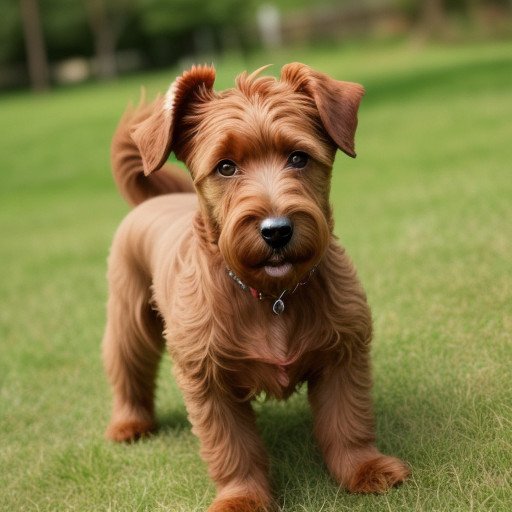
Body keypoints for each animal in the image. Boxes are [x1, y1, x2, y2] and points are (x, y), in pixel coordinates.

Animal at [103, 64, 408, 512]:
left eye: (298, 157)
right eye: (226, 167)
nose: (276, 230)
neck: (271, 296)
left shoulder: (344, 354)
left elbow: (348, 422)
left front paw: (365, 469)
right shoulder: (208, 380)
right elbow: (233, 448)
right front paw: (242, 497)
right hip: (130, 318)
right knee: (127, 367)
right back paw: (129, 422)